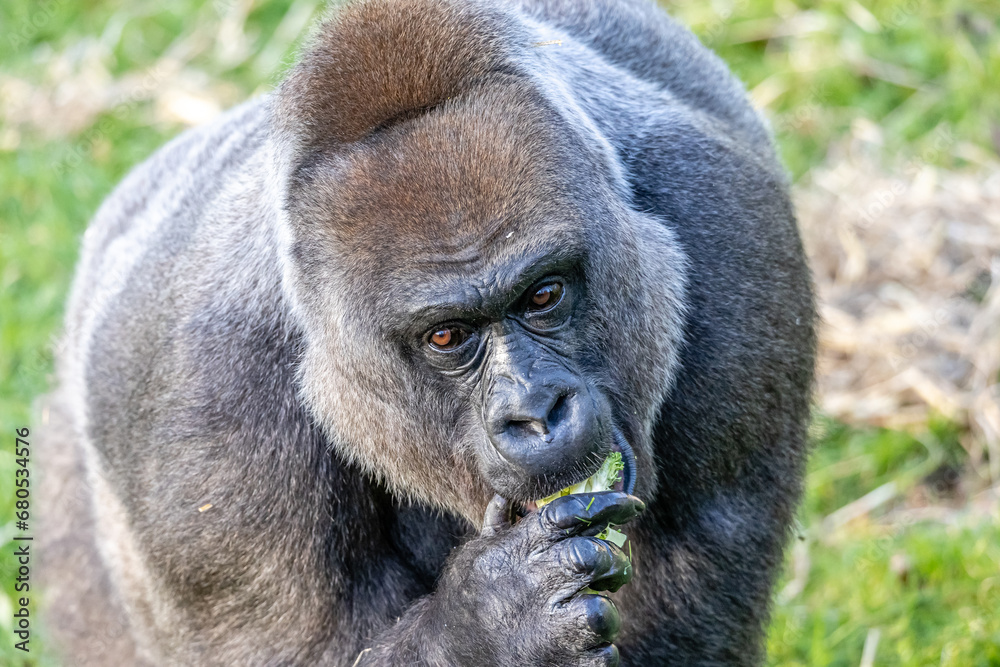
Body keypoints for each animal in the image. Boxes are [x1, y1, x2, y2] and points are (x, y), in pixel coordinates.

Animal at [36, 0, 816, 665]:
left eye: (545, 295)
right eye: (446, 338)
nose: (537, 413)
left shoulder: (729, 221)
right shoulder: (201, 404)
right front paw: (491, 620)